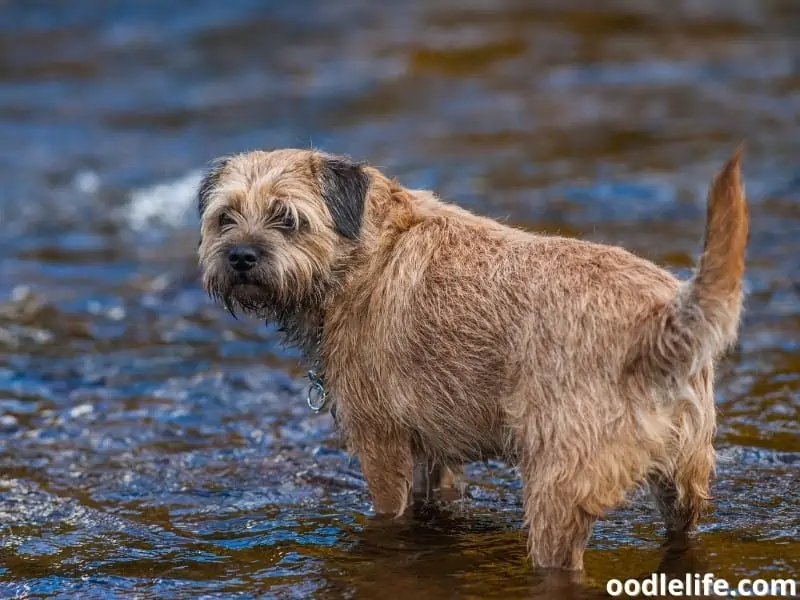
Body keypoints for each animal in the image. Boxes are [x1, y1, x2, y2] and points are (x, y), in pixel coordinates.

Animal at [197, 148, 748, 568]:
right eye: (225, 218)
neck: (365, 254)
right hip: (686, 479)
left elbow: (389, 512)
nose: (241, 255)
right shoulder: (433, 450)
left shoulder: (382, 448)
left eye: (287, 219)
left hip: (557, 489)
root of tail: (663, 317)